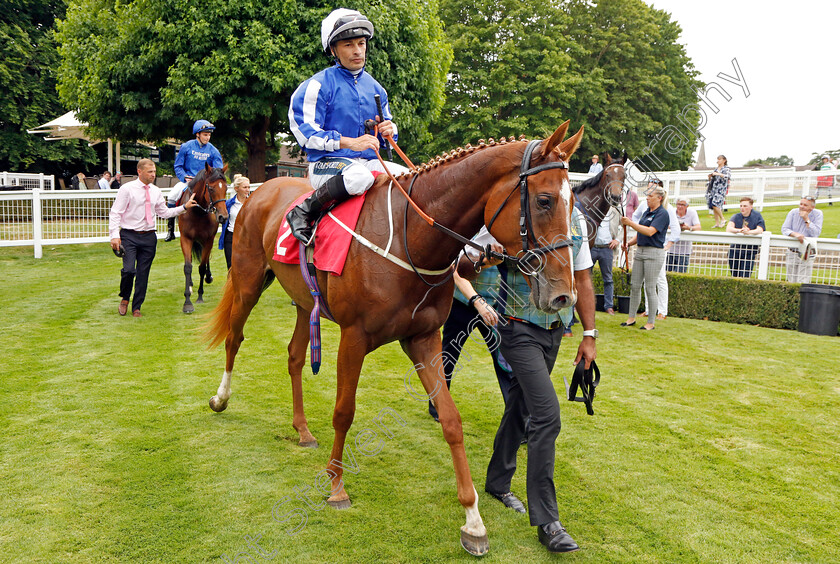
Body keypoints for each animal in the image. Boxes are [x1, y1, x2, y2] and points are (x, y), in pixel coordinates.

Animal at [175, 163, 228, 312]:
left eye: (226, 188)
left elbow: (202, 267)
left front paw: (200, 296)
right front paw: (187, 302)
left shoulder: (209, 240)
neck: (197, 212)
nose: (223, 216)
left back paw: (208, 277)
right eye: (211, 188)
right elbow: (188, 267)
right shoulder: (186, 239)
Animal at [204, 120, 584, 556]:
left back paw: (302, 429)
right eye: (544, 200)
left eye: (573, 202)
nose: (563, 295)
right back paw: (221, 398)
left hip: (303, 302)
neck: (411, 238)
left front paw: (473, 520)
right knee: (234, 338)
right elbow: (344, 411)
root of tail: (261, 190)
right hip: (248, 280)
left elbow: (450, 420)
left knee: (295, 357)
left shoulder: (424, 339)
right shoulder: (354, 338)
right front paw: (336, 486)